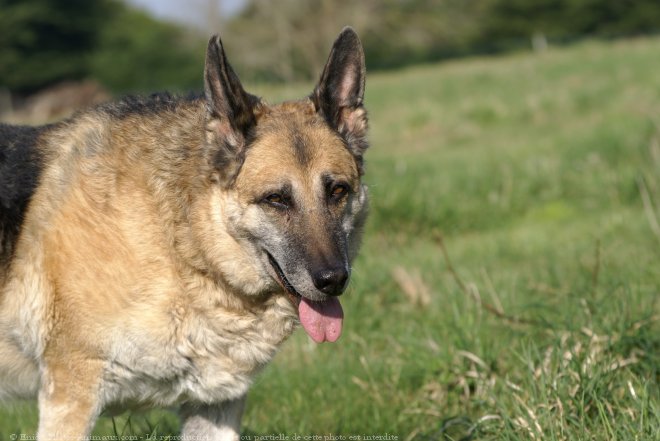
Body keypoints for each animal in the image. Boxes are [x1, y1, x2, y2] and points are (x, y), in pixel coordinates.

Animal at [0, 28, 368, 440]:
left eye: (337, 191)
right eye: (276, 199)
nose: (334, 280)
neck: (184, 246)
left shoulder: (215, 406)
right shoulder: (70, 395)